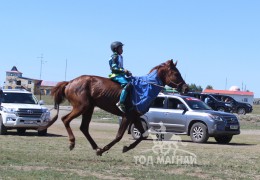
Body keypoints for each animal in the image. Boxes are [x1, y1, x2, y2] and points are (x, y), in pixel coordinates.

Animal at [38, 59, 188, 155]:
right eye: (176, 73)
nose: (185, 87)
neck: (144, 88)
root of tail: (70, 83)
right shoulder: (127, 116)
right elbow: (119, 136)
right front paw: (106, 149)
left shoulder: (135, 116)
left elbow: (143, 135)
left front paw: (126, 148)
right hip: (81, 107)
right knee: (65, 119)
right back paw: (73, 143)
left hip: (89, 108)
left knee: (84, 127)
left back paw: (96, 147)